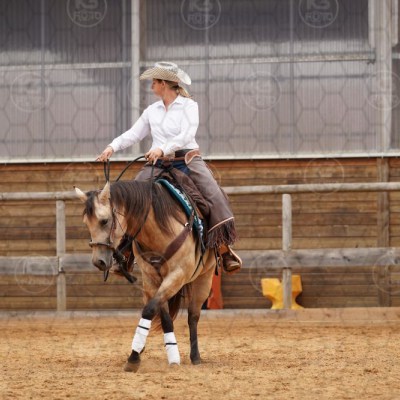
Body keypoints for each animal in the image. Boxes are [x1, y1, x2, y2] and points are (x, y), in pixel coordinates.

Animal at [74, 179, 216, 372]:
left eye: (104, 221)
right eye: (86, 223)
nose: (99, 261)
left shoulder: (177, 275)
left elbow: (149, 310)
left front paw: (133, 358)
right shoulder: (151, 280)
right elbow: (163, 317)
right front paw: (166, 354)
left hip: (205, 278)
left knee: (193, 316)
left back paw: (195, 356)